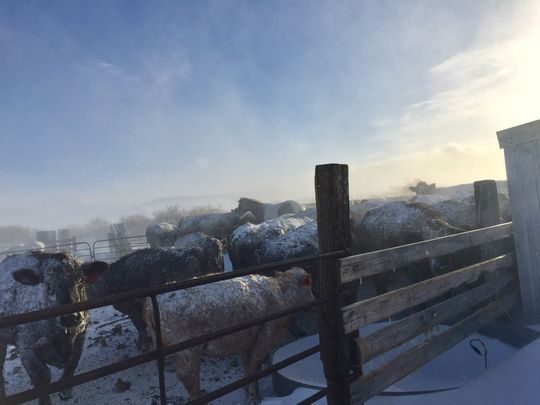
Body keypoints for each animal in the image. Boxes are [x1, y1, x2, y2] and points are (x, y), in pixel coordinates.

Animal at [0, 251, 103, 402]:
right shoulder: (26, 348)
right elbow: (42, 377)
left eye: (80, 281)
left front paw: (65, 391)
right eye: (49, 286)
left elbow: (73, 363)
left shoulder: (80, 336)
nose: (70, 317)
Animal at [143, 266, 314, 400]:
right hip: (187, 350)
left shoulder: (248, 341)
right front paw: (255, 397)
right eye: (309, 284)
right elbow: (254, 366)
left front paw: (247, 392)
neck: (281, 295)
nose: (314, 301)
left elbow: (248, 366)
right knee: (188, 377)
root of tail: (150, 308)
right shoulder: (265, 336)